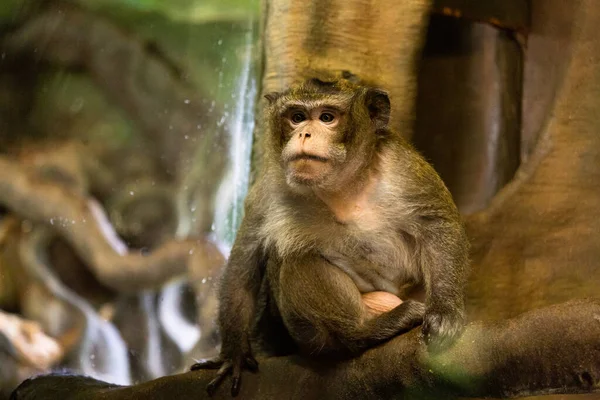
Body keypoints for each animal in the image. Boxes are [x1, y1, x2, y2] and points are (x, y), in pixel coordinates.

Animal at [191, 76, 468, 396]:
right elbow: (244, 264)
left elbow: (436, 223)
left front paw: (445, 314)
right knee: (292, 256)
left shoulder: (404, 168)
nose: (305, 133)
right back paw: (361, 332)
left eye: (327, 117)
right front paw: (234, 352)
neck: (341, 186)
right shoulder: (269, 188)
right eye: (297, 117)